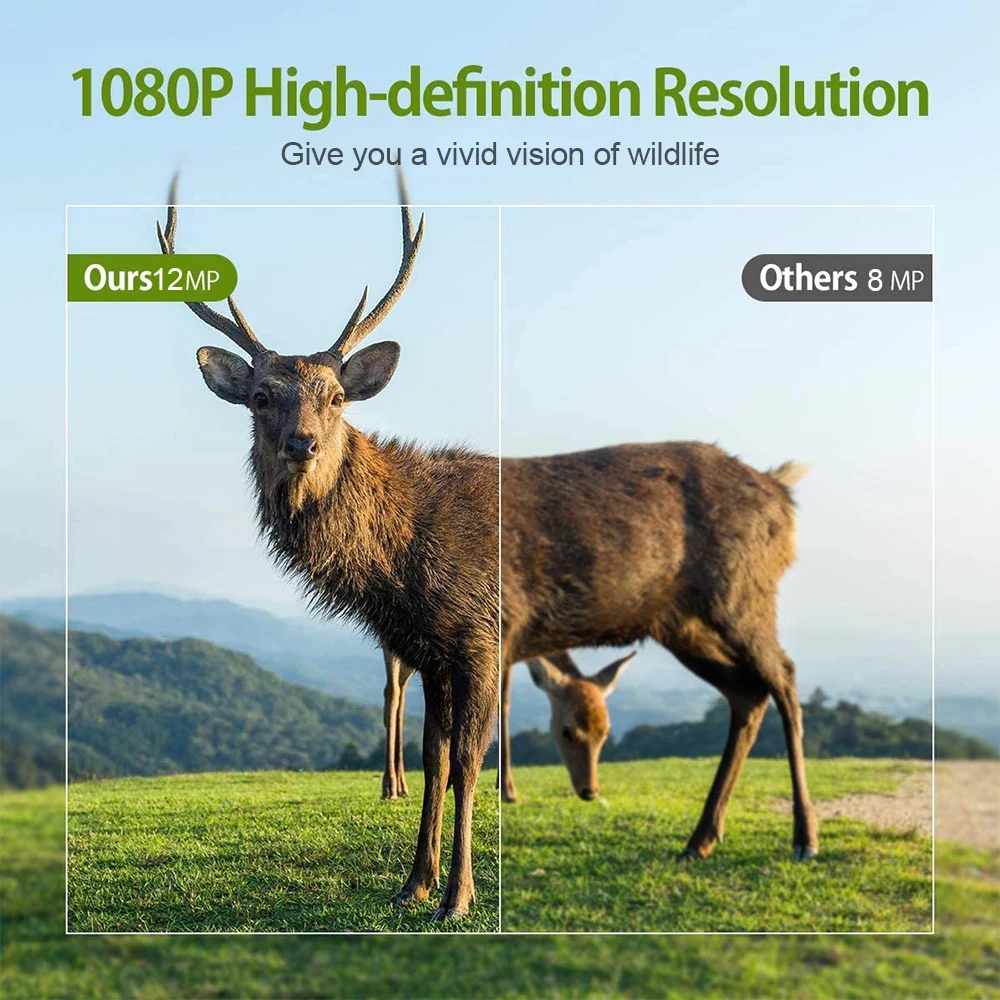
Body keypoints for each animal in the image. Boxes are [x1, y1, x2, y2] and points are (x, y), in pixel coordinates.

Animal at [157, 175, 498, 921]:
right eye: (260, 396)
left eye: (338, 395)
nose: (302, 443)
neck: (401, 563)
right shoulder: (423, 647)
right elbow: (433, 762)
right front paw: (413, 883)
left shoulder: (476, 637)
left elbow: (465, 763)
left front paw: (457, 896)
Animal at [380, 646, 635, 802]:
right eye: (566, 731)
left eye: (606, 731)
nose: (590, 791)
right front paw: (507, 789)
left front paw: (500, 785)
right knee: (392, 691)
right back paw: (390, 786)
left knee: (402, 685)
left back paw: (402, 784)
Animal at [501, 447, 820, 861]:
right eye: (566, 731)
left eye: (605, 732)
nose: (590, 791)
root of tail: (780, 488)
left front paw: (506, 792)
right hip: (682, 625)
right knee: (747, 691)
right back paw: (701, 838)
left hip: (744, 593)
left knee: (784, 674)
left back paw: (804, 838)